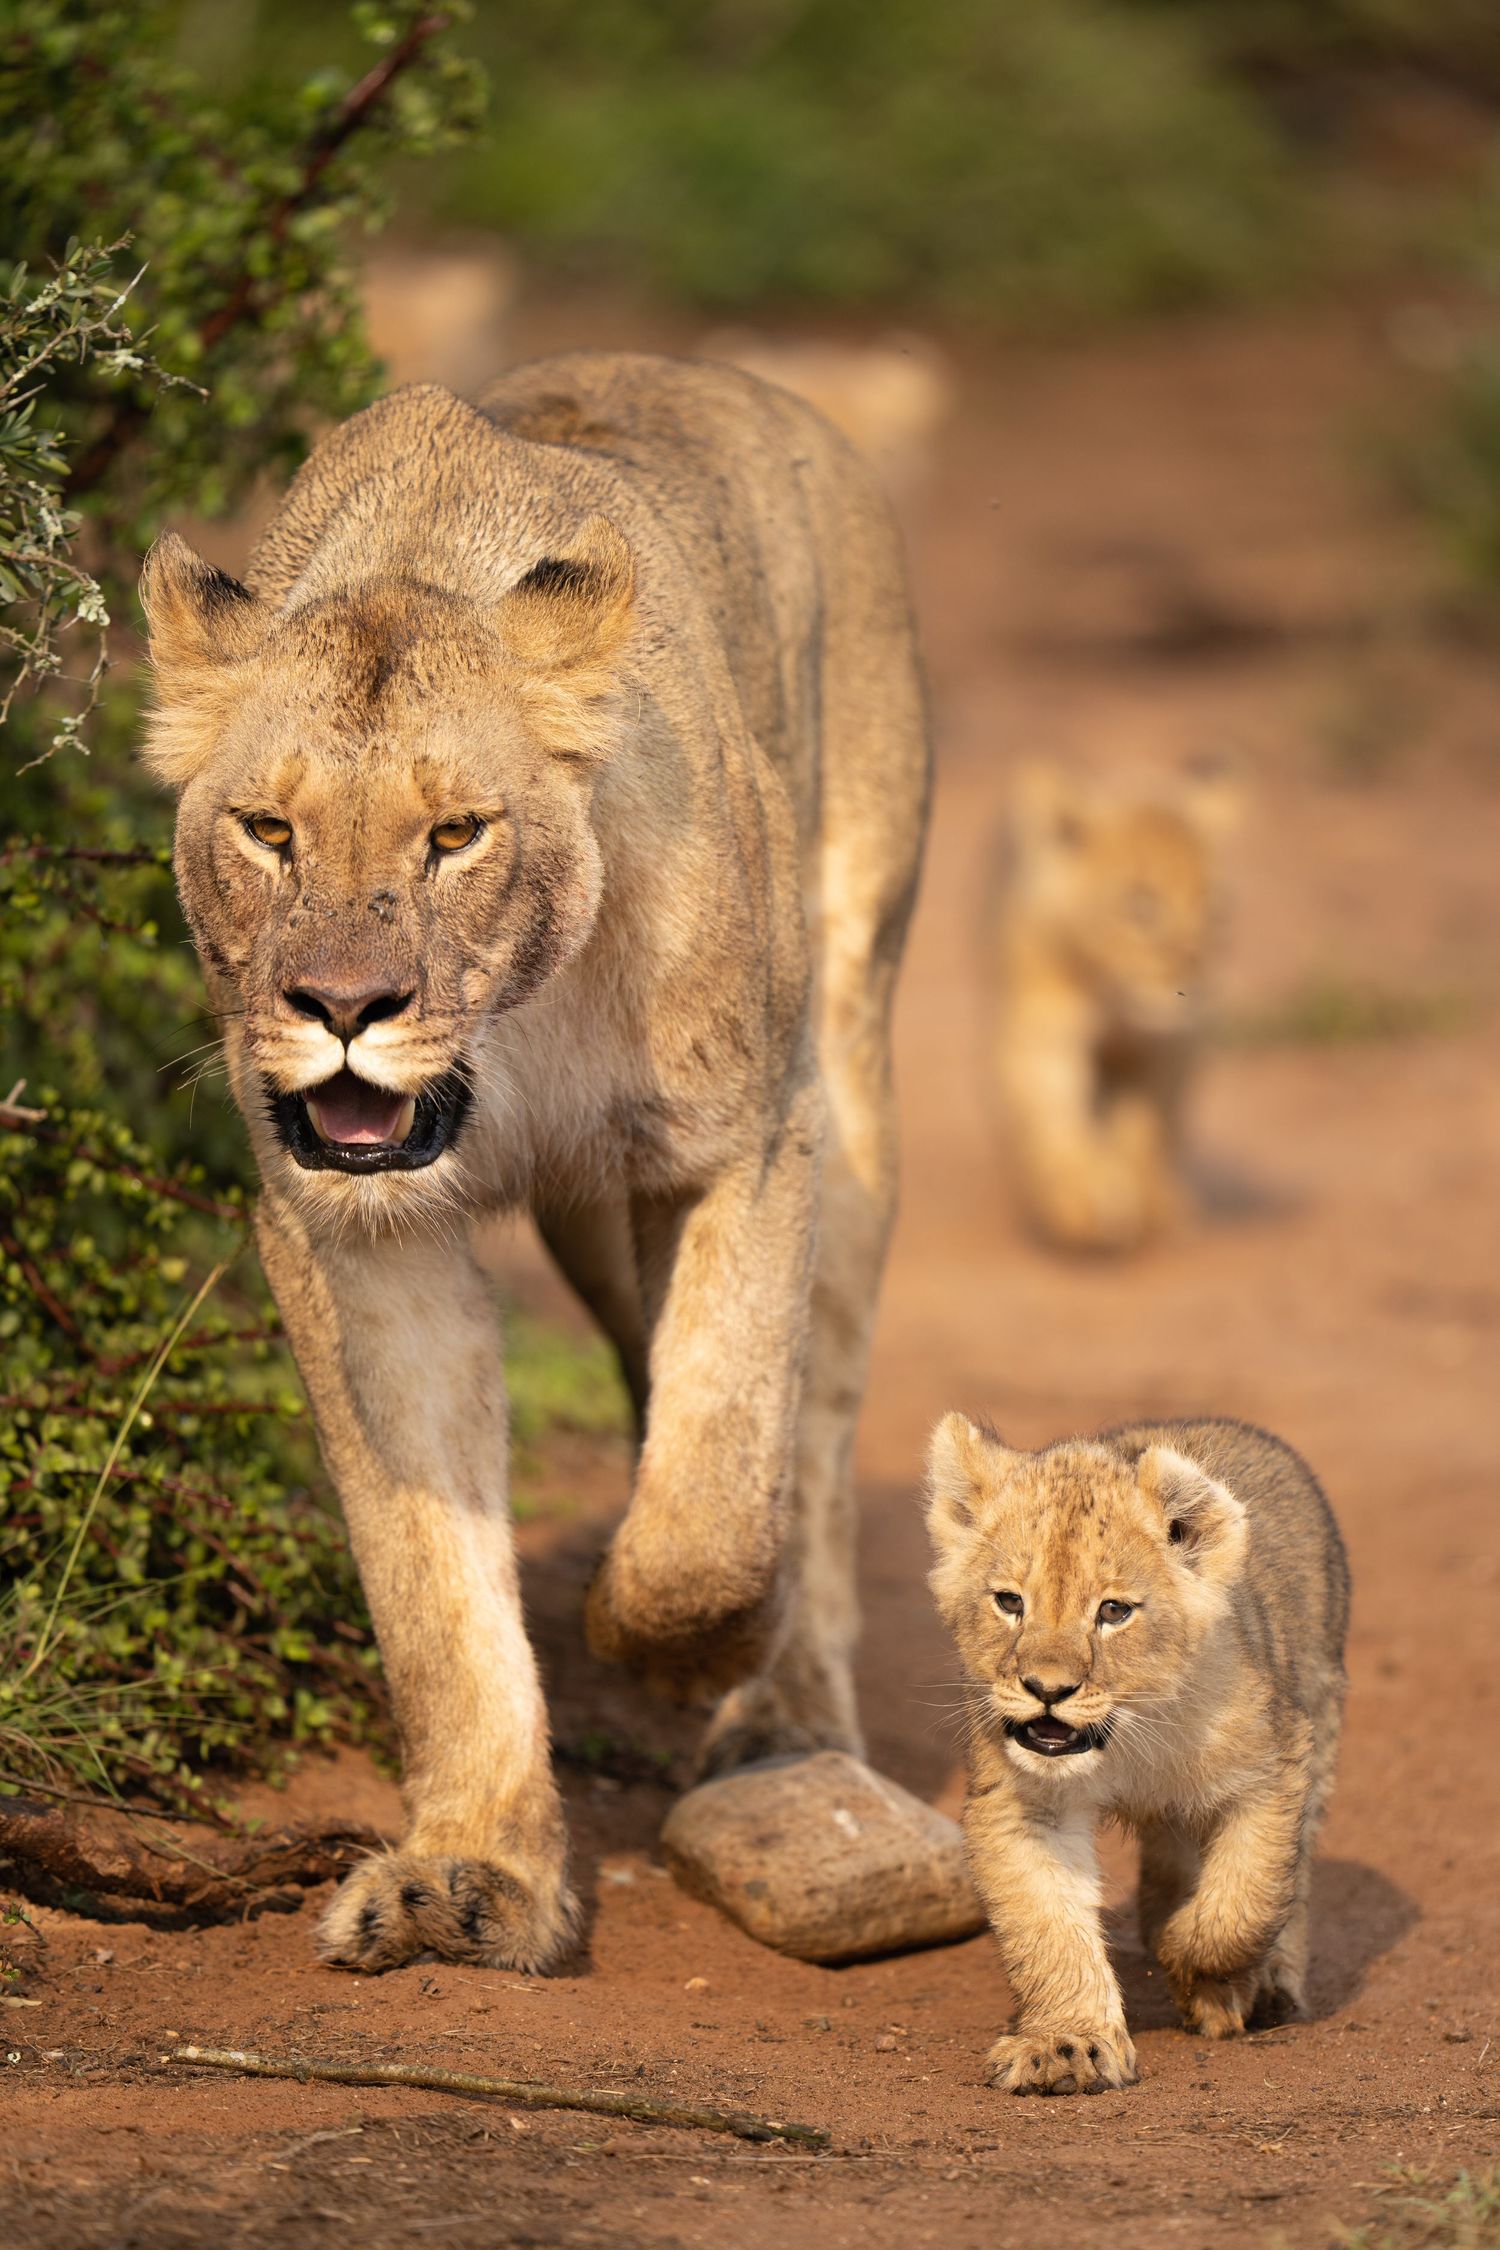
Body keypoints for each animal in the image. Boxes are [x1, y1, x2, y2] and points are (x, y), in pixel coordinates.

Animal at [139, 353, 930, 1972]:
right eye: (267, 829)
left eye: (456, 832)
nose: (345, 1008)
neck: (513, 1037)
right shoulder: (352, 1235)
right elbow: (430, 1580)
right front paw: (473, 1872)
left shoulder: (743, 1140)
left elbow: (715, 1496)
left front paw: (668, 1645)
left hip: (850, 1062)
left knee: (811, 1438)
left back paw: (786, 1712)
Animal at [925, 1413, 1348, 2092]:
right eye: (1010, 1602)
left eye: (1114, 1611)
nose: (1047, 1690)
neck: (1127, 1739)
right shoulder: (1025, 1806)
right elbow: (1048, 1928)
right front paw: (1067, 2046)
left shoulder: (1274, 1768)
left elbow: (1243, 1903)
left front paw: (1196, 1965)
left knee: (1295, 1876)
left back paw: (1269, 1988)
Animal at [990, 762, 1239, 1254]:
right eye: (1140, 906)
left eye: (1212, 908)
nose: (1191, 986)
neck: (1115, 1001)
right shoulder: (1045, 1035)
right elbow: (1055, 1124)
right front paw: (1082, 1207)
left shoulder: (1171, 1050)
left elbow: (1146, 1129)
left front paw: (1141, 1199)